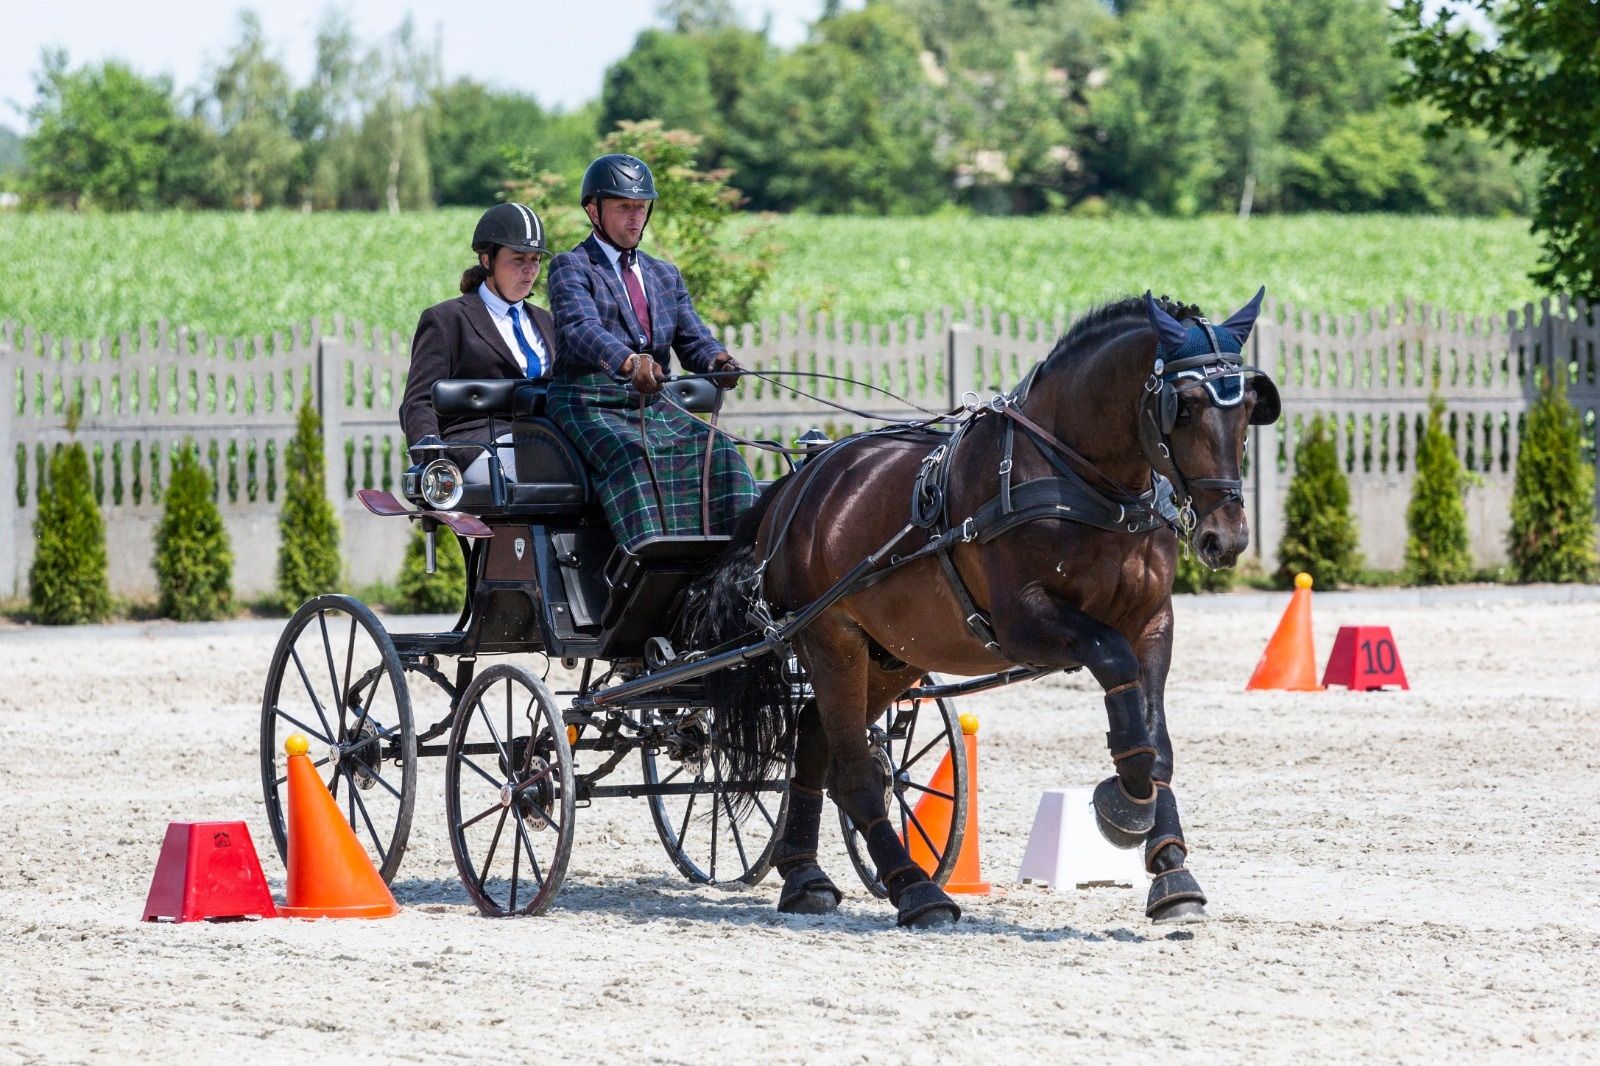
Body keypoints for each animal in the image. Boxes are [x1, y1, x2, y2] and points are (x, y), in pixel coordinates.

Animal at [678, 288, 1286, 921]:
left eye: (1248, 408)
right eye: (1183, 407)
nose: (1225, 537)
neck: (1086, 482)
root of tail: (799, 485)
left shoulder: (1152, 621)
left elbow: (1156, 735)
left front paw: (1171, 870)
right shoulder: (1025, 620)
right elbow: (1113, 663)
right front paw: (1124, 808)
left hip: (893, 655)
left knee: (814, 738)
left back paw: (805, 877)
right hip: (831, 640)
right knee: (855, 772)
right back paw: (915, 889)